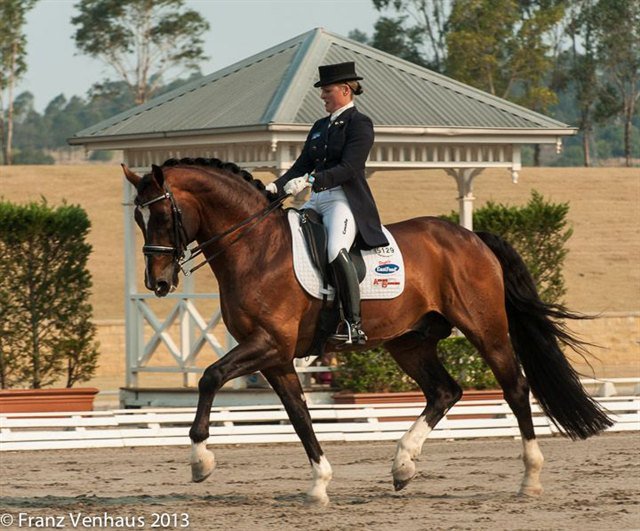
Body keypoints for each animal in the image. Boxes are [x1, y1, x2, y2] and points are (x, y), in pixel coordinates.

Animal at [122, 159, 612, 508]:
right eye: (138, 220)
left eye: (163, 214)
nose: (158, 283)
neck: (256, 248)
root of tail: (470, 237)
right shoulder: (277, 357)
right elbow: (299, 415)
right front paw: (319, 485)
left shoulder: (268, 345)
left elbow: (210, 377)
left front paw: (200, 462)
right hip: (409, 342)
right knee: (445, 391)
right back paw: (403, 466)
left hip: (485, 329)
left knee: (515, 387)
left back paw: (529, 478)